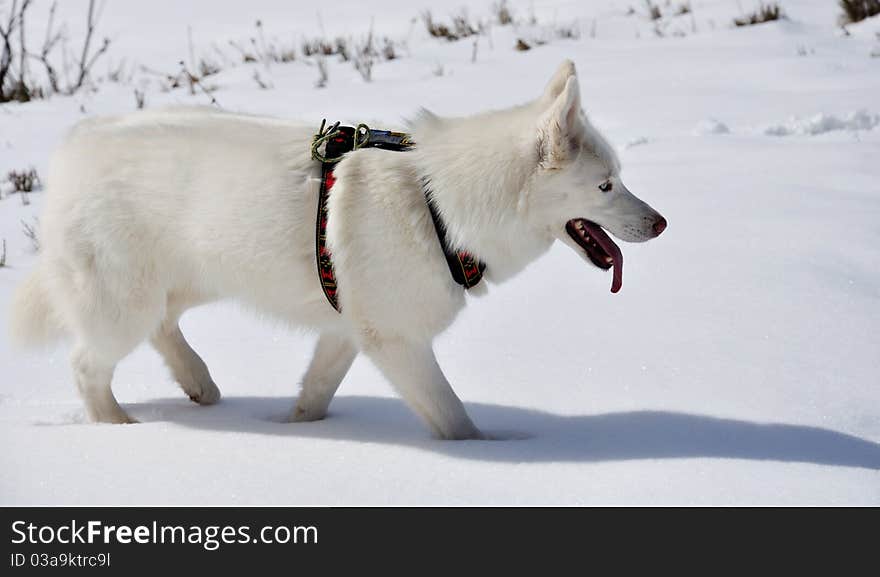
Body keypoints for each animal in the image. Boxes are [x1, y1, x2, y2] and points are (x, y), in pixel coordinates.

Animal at [10, 60, 664, 438]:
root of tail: (73, 148)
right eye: (606, 187)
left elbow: (316, 393)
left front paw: (299, 431)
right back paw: (118, 432)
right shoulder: (398, 343)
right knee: (88, 364)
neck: (438, 203)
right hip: (125, 302)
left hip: (190, 281)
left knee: (163, 328)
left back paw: (199, 385)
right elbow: (454, 421)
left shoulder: (348, 331)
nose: (661, 224)